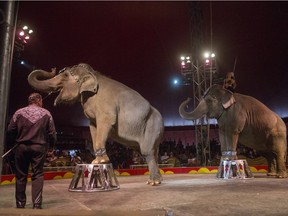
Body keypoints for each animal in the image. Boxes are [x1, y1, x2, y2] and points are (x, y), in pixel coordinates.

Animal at [29, 63, 165, 185]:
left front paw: (101, 161)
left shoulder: (106, 106)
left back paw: (153, 182)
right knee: (153, 152)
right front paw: (96, 161)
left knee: (147, 152)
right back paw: (158, 180)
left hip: (152, 126)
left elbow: (105, 122)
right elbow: (93, 127)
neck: (93, 74)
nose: (53, 68)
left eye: (65, 75)